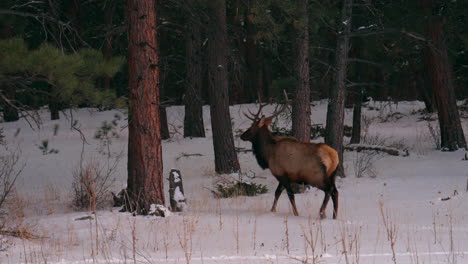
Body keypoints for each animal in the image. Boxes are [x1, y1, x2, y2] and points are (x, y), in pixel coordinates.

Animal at [241, 92, 340, 220]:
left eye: (252, 127)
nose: (242, 135)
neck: (267, 154)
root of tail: (333, 157)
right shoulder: (286, 176)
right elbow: (277, 193)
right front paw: (272, 210)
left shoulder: (281, 173)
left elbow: (290, 194)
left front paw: (296, 213)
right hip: (332, 175)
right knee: (335, 192)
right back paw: (334, 216)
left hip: (316, 176)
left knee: (329, 190)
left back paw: (322, 213)